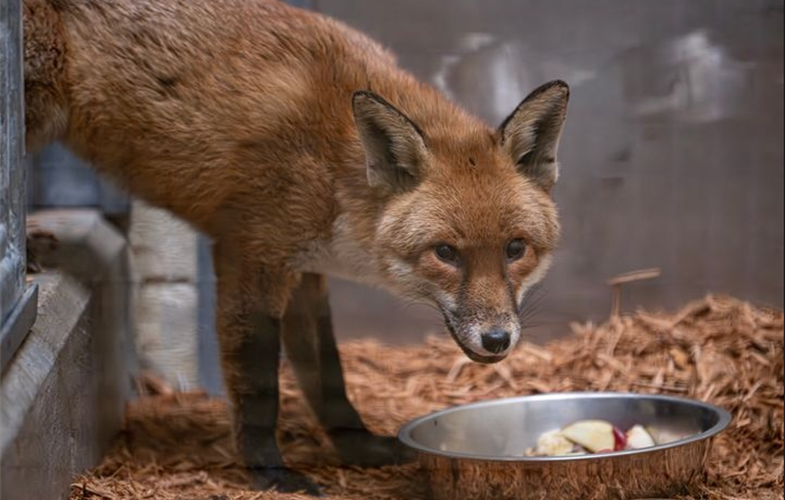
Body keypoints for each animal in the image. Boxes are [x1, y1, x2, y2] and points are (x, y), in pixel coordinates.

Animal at [22, 0, 570, 494]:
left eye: (515, 248)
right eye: (446, 253)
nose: (497, 340)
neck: (334, 165)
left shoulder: (306, 271)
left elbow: (328, 376)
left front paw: (359, 448)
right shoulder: (251, 255)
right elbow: (260, 384)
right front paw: (270, 472)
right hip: (36, 106)